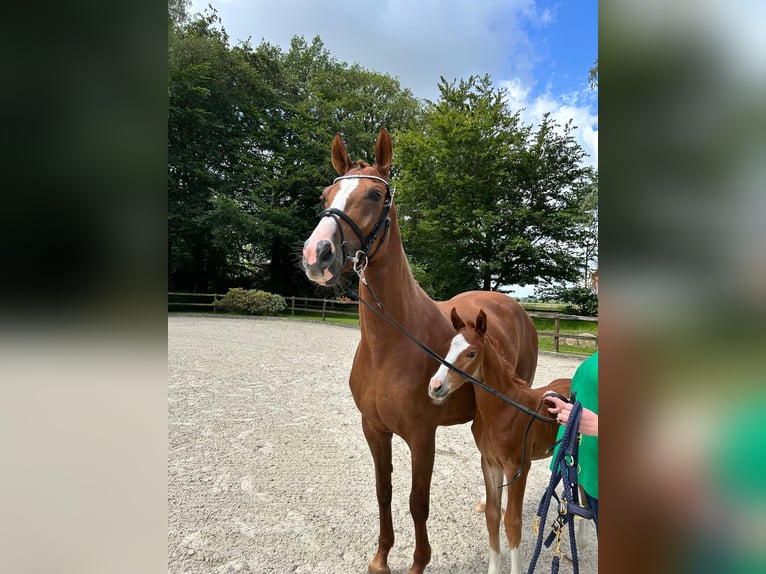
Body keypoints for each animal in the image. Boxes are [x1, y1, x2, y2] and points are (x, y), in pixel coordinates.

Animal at [302, 130, 540, 574]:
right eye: (327, 194)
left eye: (376, 195)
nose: (317, 254)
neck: (390, 346)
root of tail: (514, 307)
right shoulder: (374, 429)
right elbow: (384, 492)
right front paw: (381, 558)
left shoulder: (421, 436)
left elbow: (417, 502)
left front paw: (418, 562)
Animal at [432, 310, 568, 574]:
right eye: (447, 348)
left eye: (471, 353)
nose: (435, 386)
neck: (503, 410)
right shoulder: (490, 463)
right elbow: (493, 516)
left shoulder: (518, 467)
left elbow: (513, 522)